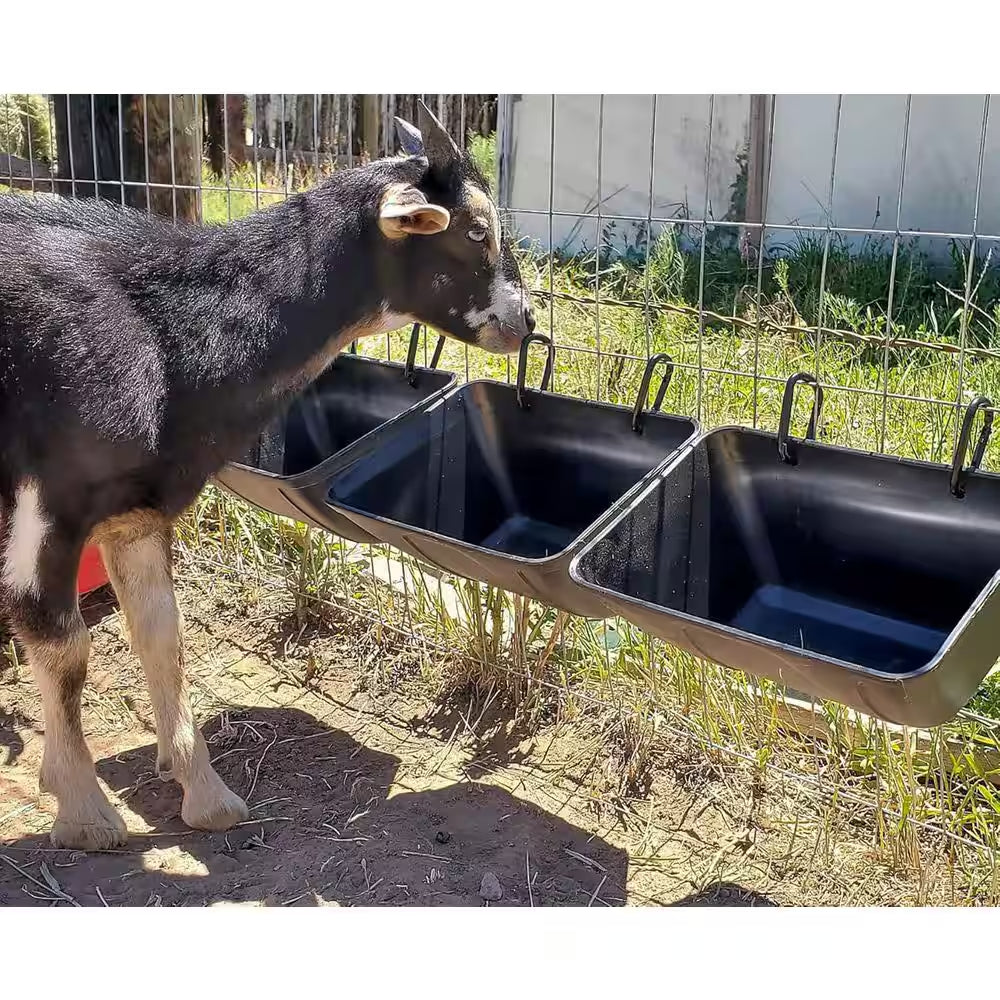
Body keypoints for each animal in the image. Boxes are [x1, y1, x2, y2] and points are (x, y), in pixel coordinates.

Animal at [0, 101, 535, 851]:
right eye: (477, 230)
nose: (527, 320)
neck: (163, 329)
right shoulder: (48, 505)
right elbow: (63, 647)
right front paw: (84, 813)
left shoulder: (136, 508)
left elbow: (163, 637)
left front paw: (204, 793)